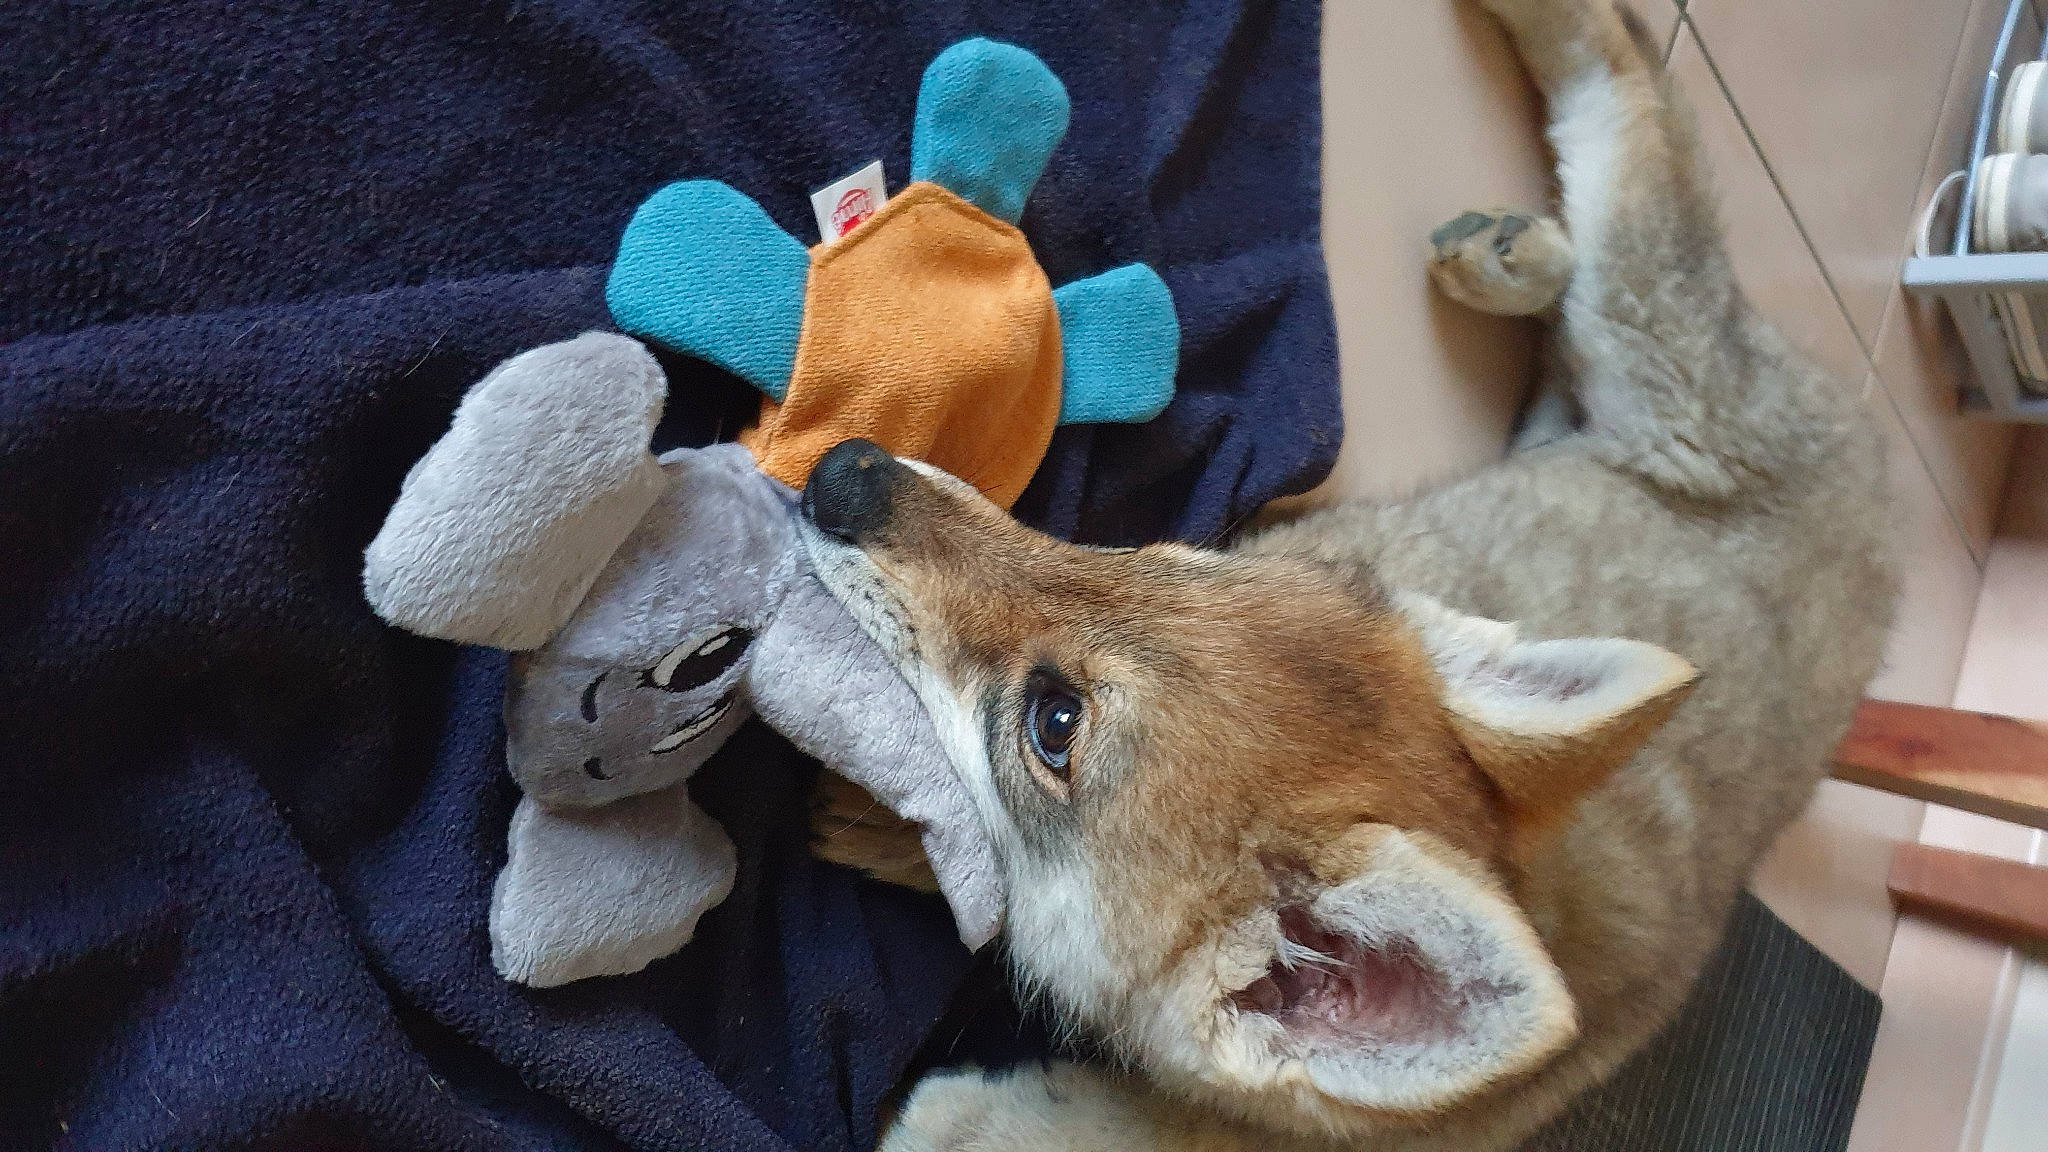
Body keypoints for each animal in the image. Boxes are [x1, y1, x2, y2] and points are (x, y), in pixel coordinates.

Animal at [796, 0, 1897, 1148]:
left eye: (1053, 724)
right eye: (1165, 560)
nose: (846, 471)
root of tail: (1885, 491)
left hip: (1663, 355)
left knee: (1631, 120)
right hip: (1621, 376)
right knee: (1621, 126)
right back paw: (1518, 247)